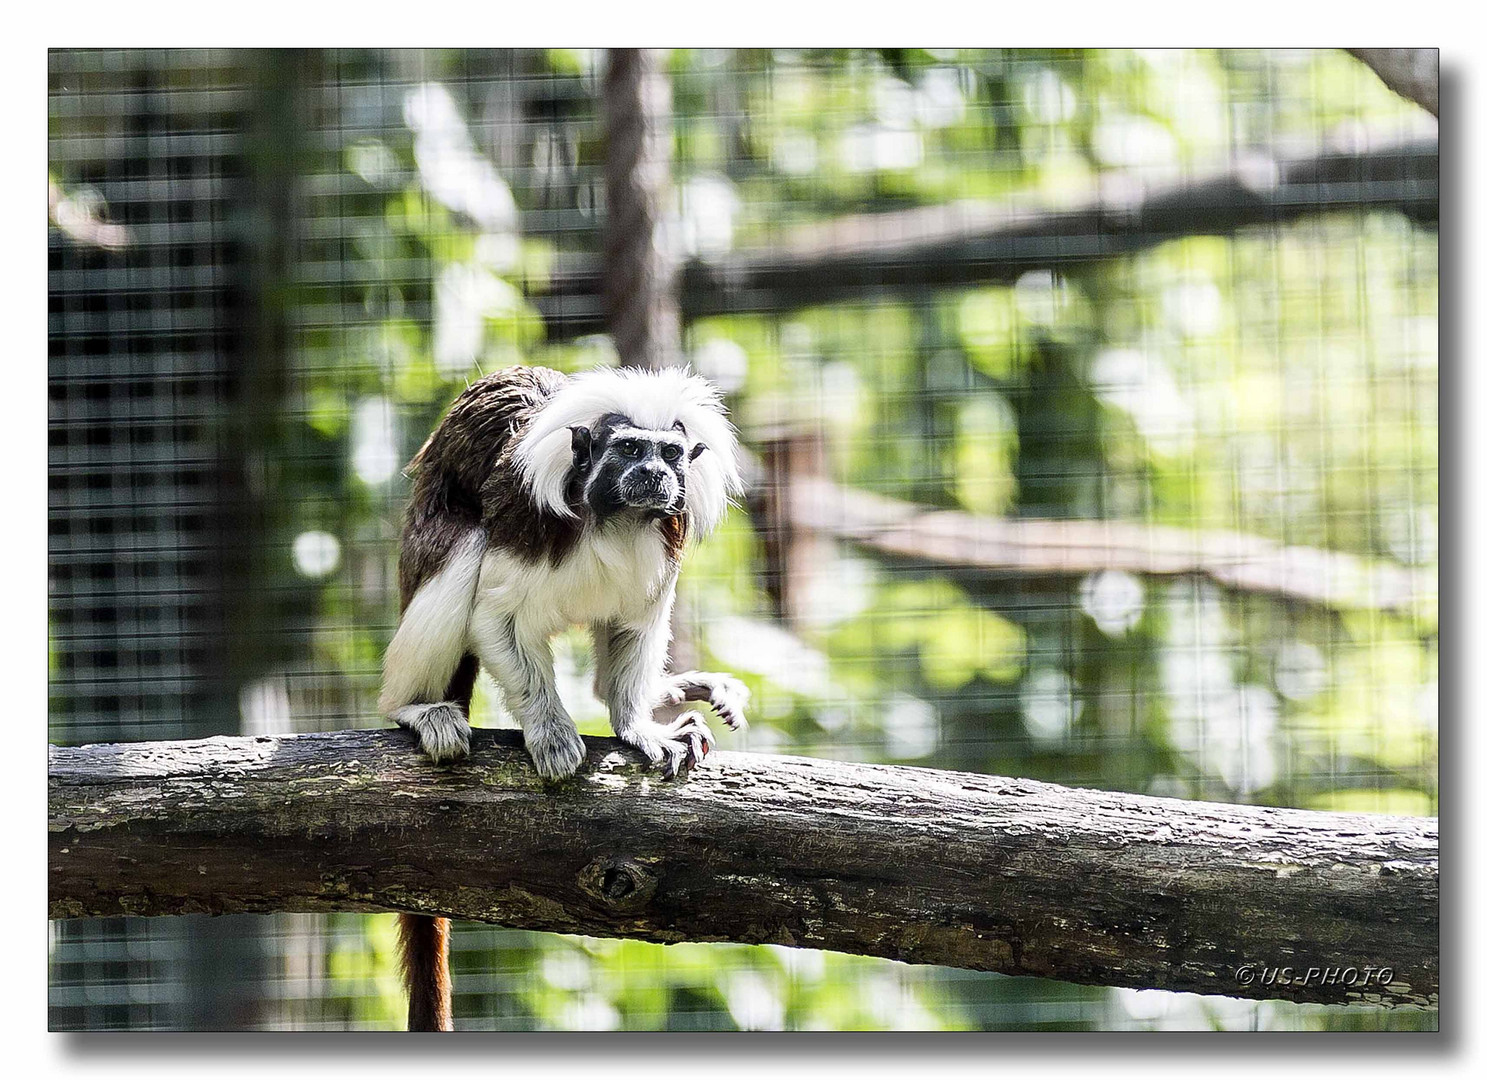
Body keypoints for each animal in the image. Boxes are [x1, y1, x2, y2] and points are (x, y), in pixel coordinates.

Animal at [377, 364, 749, 1029]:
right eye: (628, 449)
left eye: (670, 454)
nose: (654, 476)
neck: (615, 520)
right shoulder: (525, 517)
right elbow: (496, 618)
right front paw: (551, 735)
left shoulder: (664, 543)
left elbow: (635, 632)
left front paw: (640, 725)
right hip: (421, 547)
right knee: (463, 547)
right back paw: (413, 707)